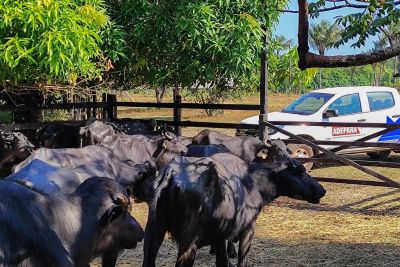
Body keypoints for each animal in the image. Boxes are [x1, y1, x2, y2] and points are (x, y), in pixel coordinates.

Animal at [144, 154, 324, 266]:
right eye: (301, 171)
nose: (322, 190)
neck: (252, 182)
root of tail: (171, 172)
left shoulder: (220, 237)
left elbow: (222, 262)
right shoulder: (248, 229)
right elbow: (241, 260)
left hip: (153, 233)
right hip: (189, 242)